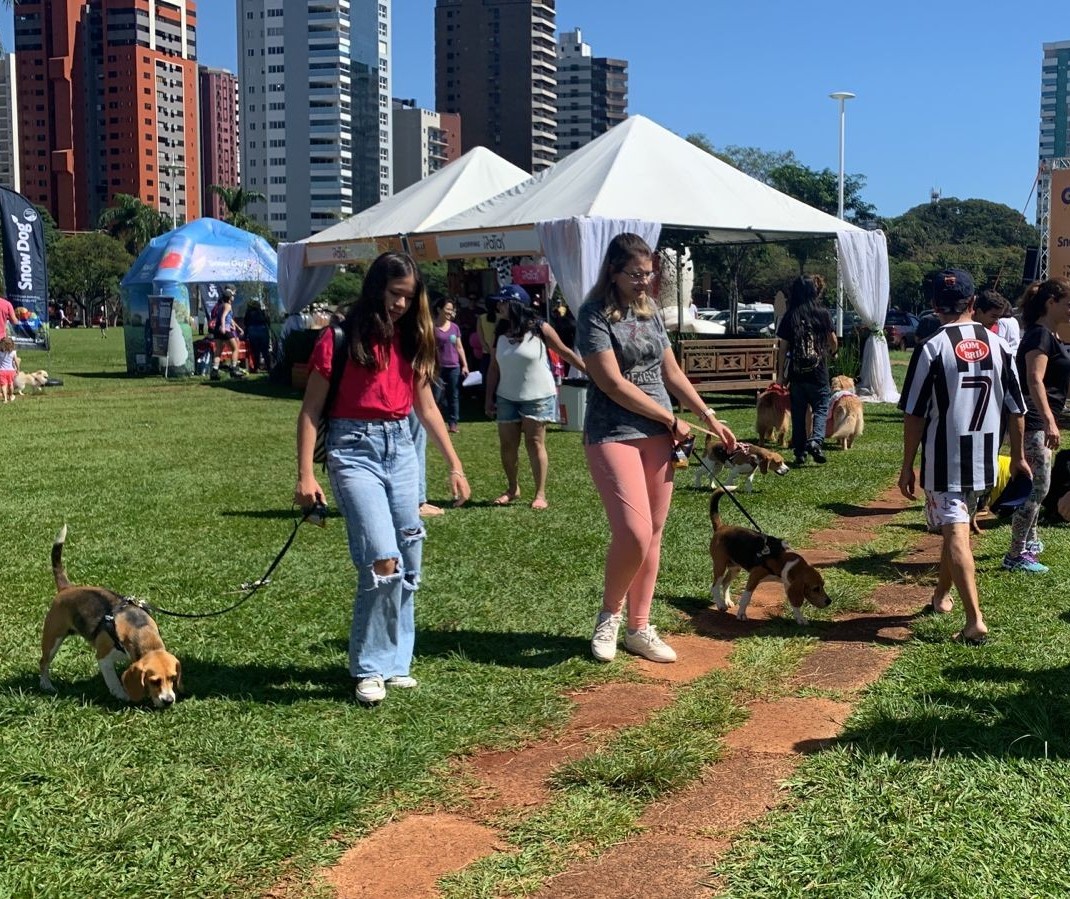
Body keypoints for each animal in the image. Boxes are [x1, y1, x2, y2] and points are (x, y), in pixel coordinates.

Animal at [39, 522, 181, 706]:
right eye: (154, 681)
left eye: (173, 678)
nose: (169, 700)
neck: (140, 629)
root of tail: (67, 588)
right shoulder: (103, 657)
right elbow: (113, 680)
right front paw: (121, 694)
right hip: (52, 638)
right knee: (43, 662)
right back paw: (46, 684)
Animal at [710, 483, 834, 625]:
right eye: (815, 588)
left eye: (823, 585)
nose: (829, 601)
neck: (783, 559)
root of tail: (721, 527)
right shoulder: (754, 577)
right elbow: (746, 598)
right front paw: (741, 614)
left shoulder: (788, 583)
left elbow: (795, 605)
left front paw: (800, 618)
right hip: (720, 565)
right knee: (715, 586)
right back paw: (720, 604)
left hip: (735, 568)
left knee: (725, 583)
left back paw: (727, 601)